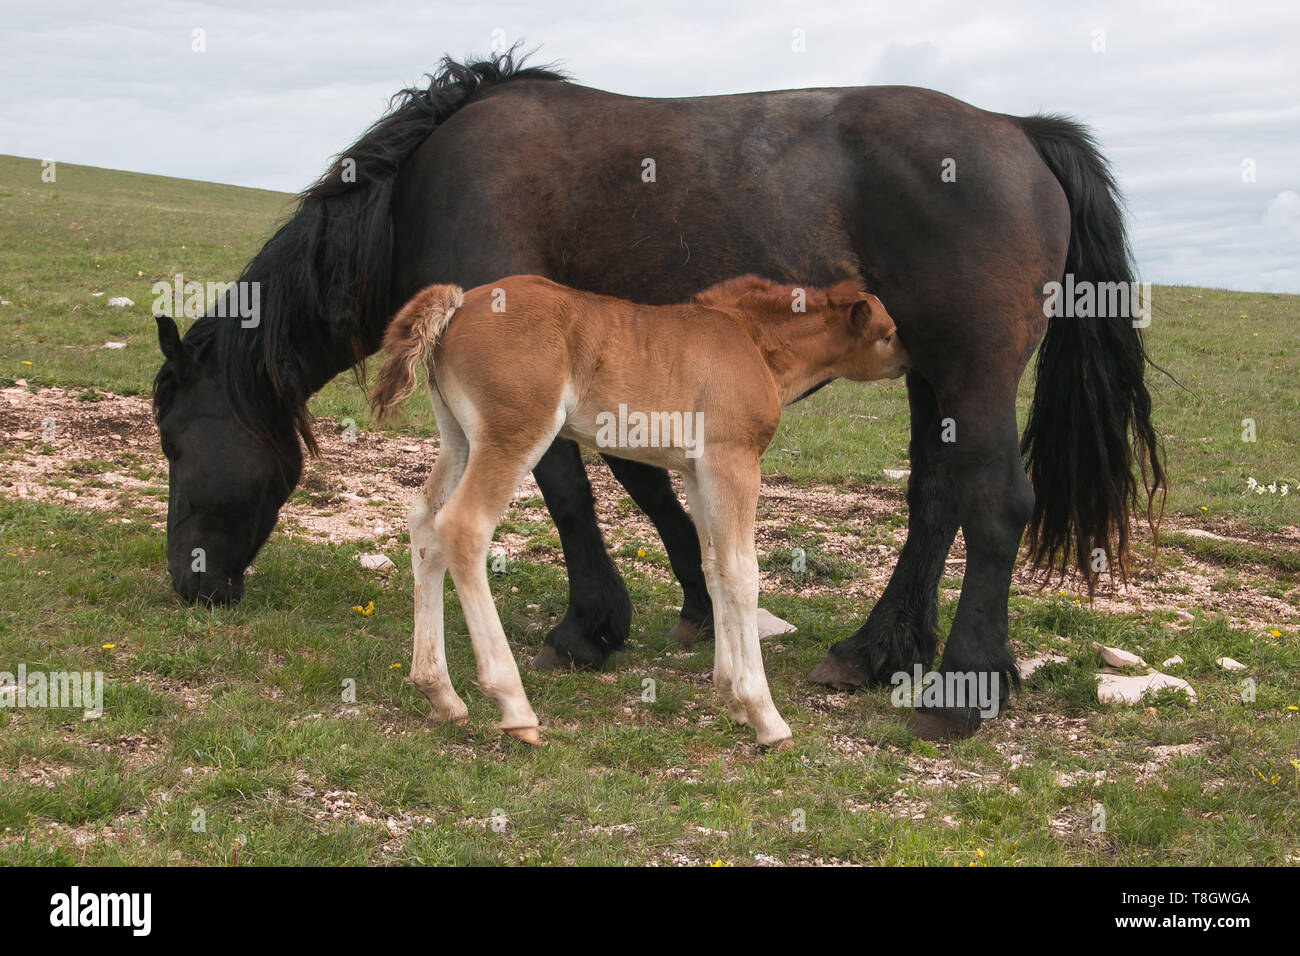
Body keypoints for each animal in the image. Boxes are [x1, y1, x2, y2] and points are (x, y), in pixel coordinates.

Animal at [367, 274, 908, 748]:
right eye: (888, 333)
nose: (908, 360)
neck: (752, 342)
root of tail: (458, 305)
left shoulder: (697, 471)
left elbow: (712, 567)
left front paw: (730, 697)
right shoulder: (733, 459)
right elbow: (741, 573)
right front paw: (764, 715)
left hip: (459, 436)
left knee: (424, 525)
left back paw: (440, 694)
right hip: (513, 432)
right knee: (463, 527)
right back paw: (515, 706)